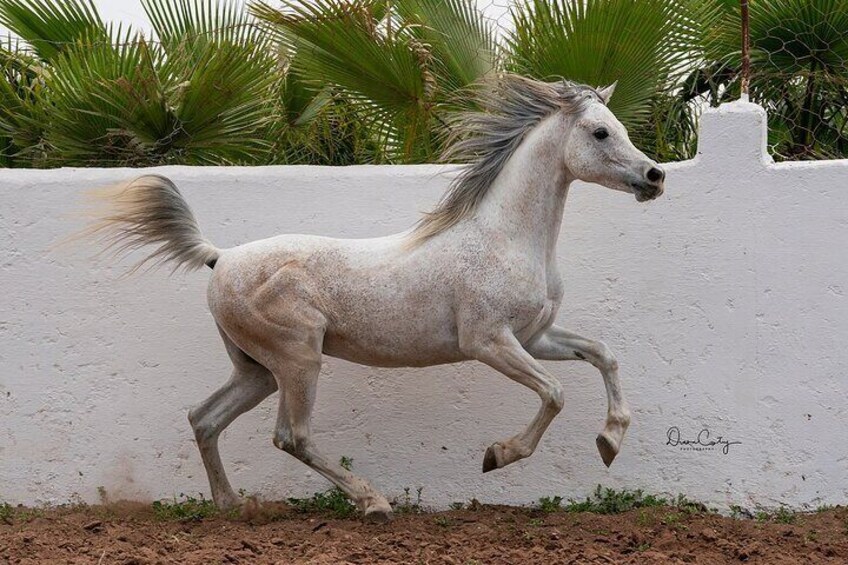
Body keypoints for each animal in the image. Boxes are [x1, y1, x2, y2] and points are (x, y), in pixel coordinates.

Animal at [88, 74, 668, 520]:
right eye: (600, 131)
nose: (655, 176)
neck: (506, 237)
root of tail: (220, 257)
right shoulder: (488, 342)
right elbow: (554, 393)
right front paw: (498, 455)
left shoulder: (535, 336)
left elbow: (603, 355)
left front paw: (610, 442)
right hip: (298, 360)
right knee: (291, 436)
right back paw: (374, 502)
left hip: (257, 369)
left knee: (204, 418)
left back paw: (232, 506)